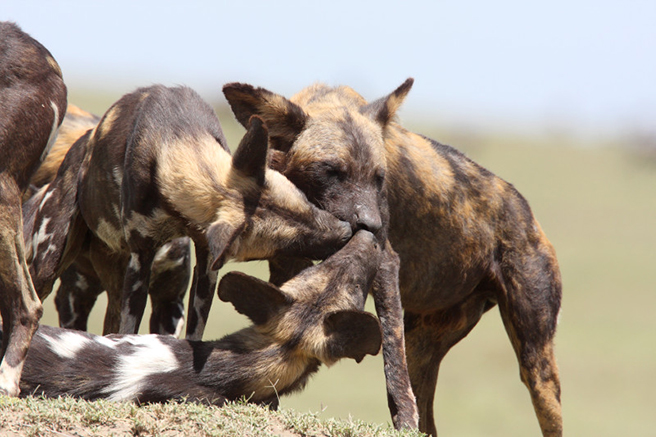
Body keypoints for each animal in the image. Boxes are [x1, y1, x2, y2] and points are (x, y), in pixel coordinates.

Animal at [224, 80, 564, 434]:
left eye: (379, 177)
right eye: (331, 171)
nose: (372, 226)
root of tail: (525, 211)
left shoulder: (385, 262)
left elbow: (391, 360)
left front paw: (403, 420)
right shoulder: (289, 261)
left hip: (536, 366)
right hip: (423, 349)